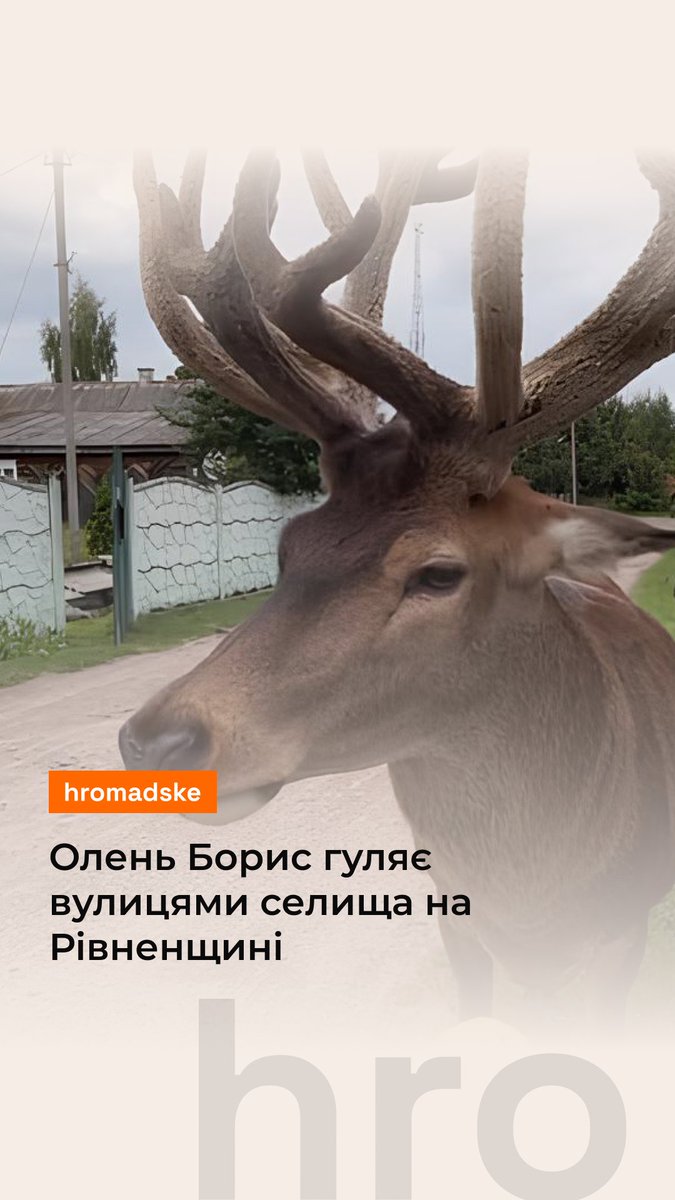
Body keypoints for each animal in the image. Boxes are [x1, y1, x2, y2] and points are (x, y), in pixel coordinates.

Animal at [121, 148, 675, 1028]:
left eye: (439, 572)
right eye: (289, 543)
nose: (154, 742)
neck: (536, 894)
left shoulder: (621, 933)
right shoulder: (457, 922)